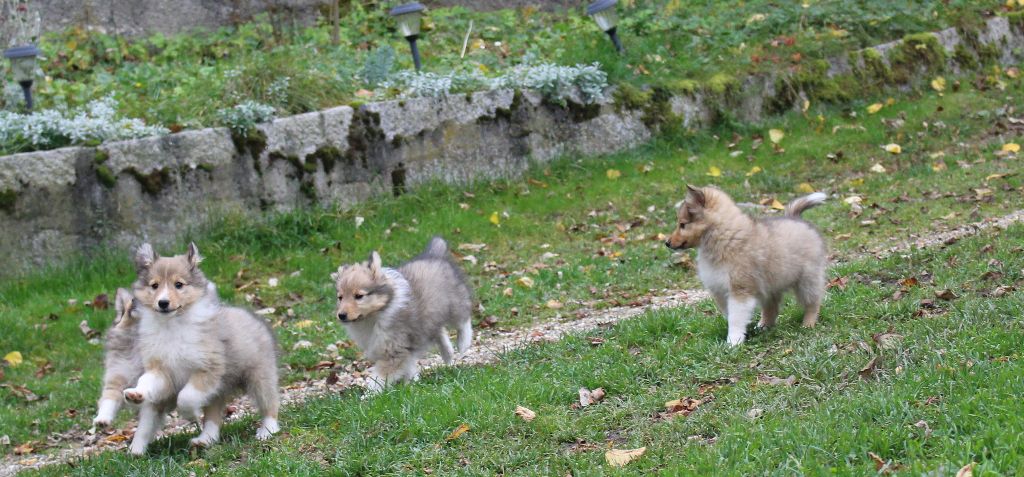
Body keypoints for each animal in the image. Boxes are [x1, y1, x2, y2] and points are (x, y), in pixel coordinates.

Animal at [123, 243, 280, 456]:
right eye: (154, 286)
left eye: (178, 284)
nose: (163, 303)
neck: (172, 326)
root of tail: (253, 316)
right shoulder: (161, 371)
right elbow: (147, 380)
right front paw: (136, 393)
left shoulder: (208, 369)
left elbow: (186, 397)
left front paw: (190, 415)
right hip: (214, 392)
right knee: (204, 419)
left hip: (259, 376)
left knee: (269, 403)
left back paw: (267, 430)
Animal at [333, 237, 473, 391]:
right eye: (340, 297)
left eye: (359, 296)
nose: (341, 315)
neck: (374, 316)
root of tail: (434, 254)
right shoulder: (401, 347)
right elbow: (408, 365)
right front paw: (412, 383)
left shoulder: (394, 350)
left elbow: (378, 377)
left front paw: (369, 394)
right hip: (431, 317)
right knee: (440, 332)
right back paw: (448, 354)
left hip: (455, 304)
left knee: (463, 321)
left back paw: (463, 343)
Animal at [667, 186, 827, 345]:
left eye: (682, 224)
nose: (667, 243)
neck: (723, 236)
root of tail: (796, 218)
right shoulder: (720, 291)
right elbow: (730, 315)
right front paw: (743, 334)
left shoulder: (740, 289)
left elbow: (735, 318)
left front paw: (733, 342)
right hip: (770, 285)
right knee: (772, 307)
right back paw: (763, 326)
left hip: (808, 279)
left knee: (813, 302)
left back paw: (808, 324)